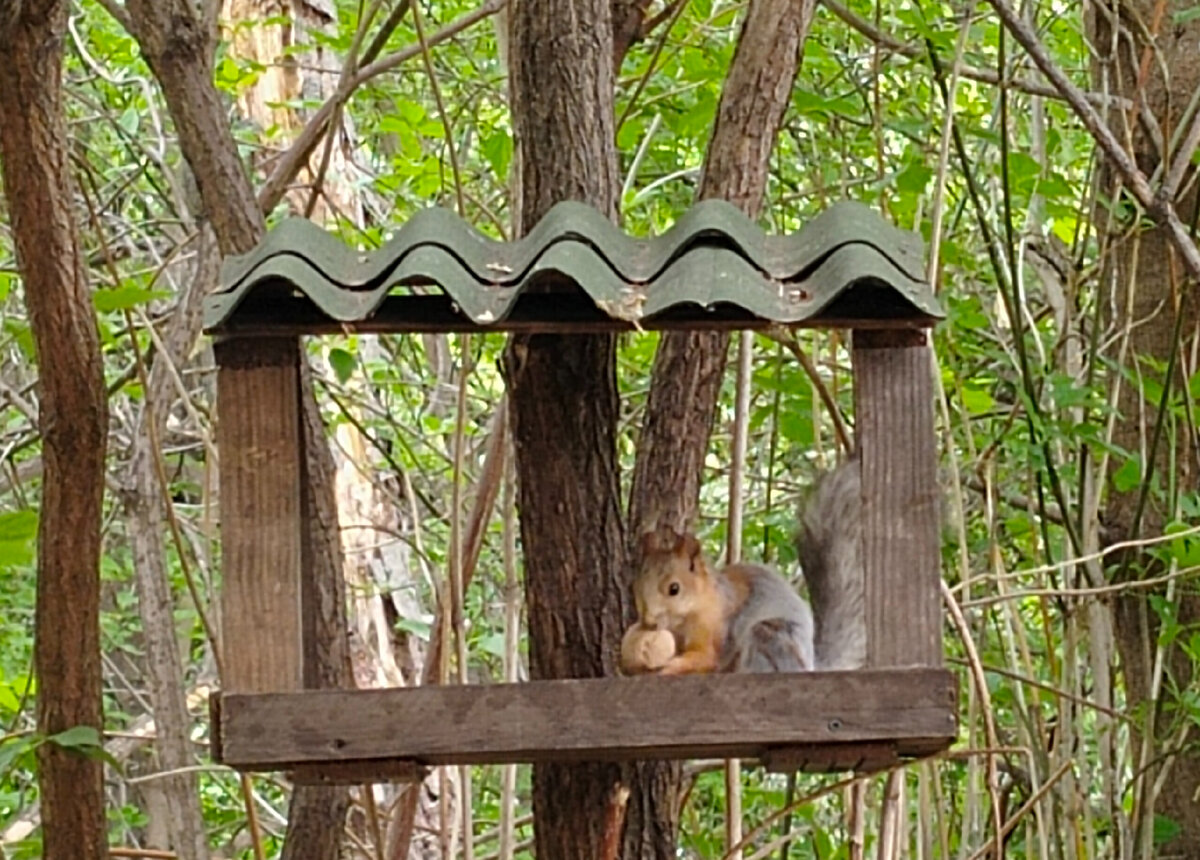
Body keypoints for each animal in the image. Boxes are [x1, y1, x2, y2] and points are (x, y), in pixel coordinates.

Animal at [619, 455, 864, 676]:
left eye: (674, 589)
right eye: (636, 587)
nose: (649, 623)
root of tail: (810, 664)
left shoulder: (714, 631)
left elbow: (705, 657)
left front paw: (669, 667)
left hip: (770, 638)